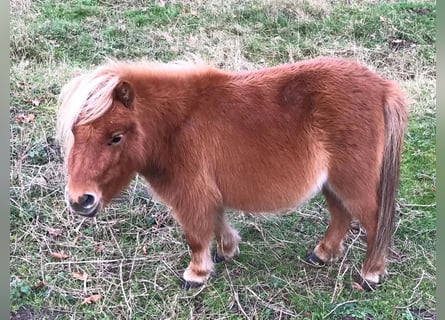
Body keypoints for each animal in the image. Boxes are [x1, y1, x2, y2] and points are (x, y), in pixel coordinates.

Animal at [57, 57, 408, 290]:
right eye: (74, 131)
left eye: (116, 137)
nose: (80, 200)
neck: (178, 125)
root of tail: (382, 88)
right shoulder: (208, 193)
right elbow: (216, 221)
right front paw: (227, 250)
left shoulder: (191, 195)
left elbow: (196, 235)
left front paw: (196, 274)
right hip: (332, 184)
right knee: (341, 217)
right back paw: (321, 255)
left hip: (352, 183)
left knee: (374, 222)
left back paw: (370, 274)